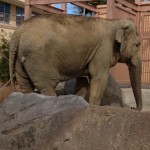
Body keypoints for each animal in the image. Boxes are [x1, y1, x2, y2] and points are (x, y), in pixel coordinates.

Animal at [8, 13, 142, 110]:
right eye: (137, 45)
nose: (132, 108)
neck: (113, 21)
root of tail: (18, 31)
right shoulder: (103, 48)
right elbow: (99, 76)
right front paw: (93, 107)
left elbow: (82, 81)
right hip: (39, 59)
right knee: (47, 85)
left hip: (21, 59)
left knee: (25, 84)